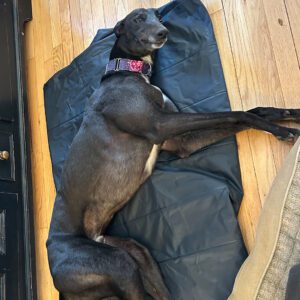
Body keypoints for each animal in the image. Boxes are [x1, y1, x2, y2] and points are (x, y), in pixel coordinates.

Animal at [47, 8, 300, 298]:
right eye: (138, 19)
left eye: (158, 16)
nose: (163, 33)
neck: (127, 72)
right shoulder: (159, 124)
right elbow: (239, 114)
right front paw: (281, 130)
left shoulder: (180, 141)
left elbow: (251, 112)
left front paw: (288, 115)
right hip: (116, 264)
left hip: (135, 253)